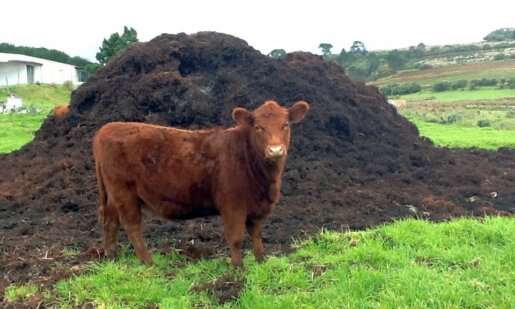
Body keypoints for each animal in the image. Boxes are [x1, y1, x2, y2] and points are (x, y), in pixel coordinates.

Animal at [91, 100, 310, 266]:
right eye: (258, 127)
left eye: (286, 125)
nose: (275, 150)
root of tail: (107, 128)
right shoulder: (232, 205)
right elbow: (236, 238)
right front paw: (237, 268)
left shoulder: (257, 207)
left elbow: (256, 234)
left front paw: (260, 261)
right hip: (124, 192)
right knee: (132, 225)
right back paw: (147, 262)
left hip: (114, 194)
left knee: (111, 221)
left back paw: (111, 257)